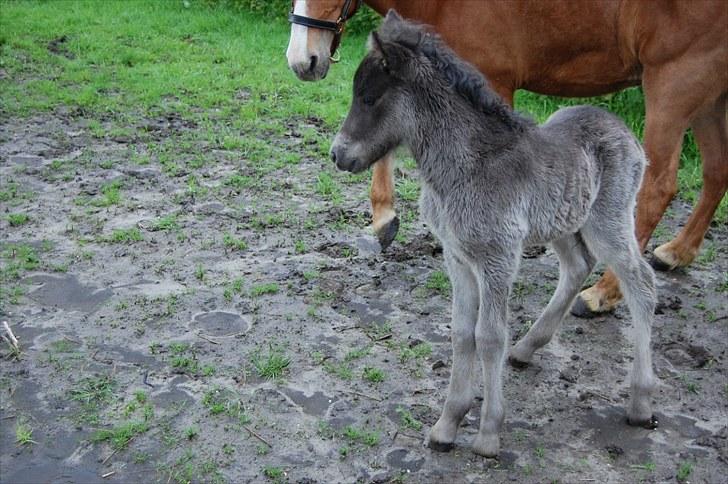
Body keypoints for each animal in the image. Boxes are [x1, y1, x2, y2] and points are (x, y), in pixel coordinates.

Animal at [286, 0, 728, 318]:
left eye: (368, 97)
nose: (303, 60)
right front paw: (384, 220)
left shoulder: (493, 80)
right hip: (709, 97)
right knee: (716, 170)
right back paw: (677, 253)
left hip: (673, 83)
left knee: (658, 187)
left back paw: (603, 293)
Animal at [330, 11, 656, 458]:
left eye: (368, 98)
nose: (337, 155)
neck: (465, 166)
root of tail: (626, 132)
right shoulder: (457, 256)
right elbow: (461, 333)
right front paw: (447, 424)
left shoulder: (497, 258)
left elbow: (488, 336)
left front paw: (487, 433)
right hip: (561, 221)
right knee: (578, 265)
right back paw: (527, 348)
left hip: (607, 221)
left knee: (641, 282)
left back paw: (640, 401)